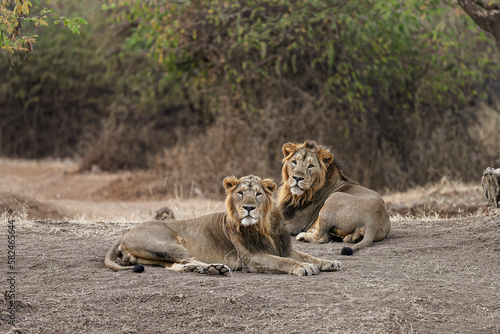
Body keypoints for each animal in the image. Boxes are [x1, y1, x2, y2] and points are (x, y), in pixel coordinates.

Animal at [105, 174, 340, 276]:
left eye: (258, 194)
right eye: (240, 193)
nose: (248, 208)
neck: (265, 227)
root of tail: (124, 234)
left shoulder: (284, 248)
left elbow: (308, 255)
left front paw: (327, 262)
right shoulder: (253, 258)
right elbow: (284, 262)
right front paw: (303, 267)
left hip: (157, 255)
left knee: (175, 265)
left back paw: (208, 269)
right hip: (166, 243)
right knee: (187, 259)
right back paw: (214, 268)